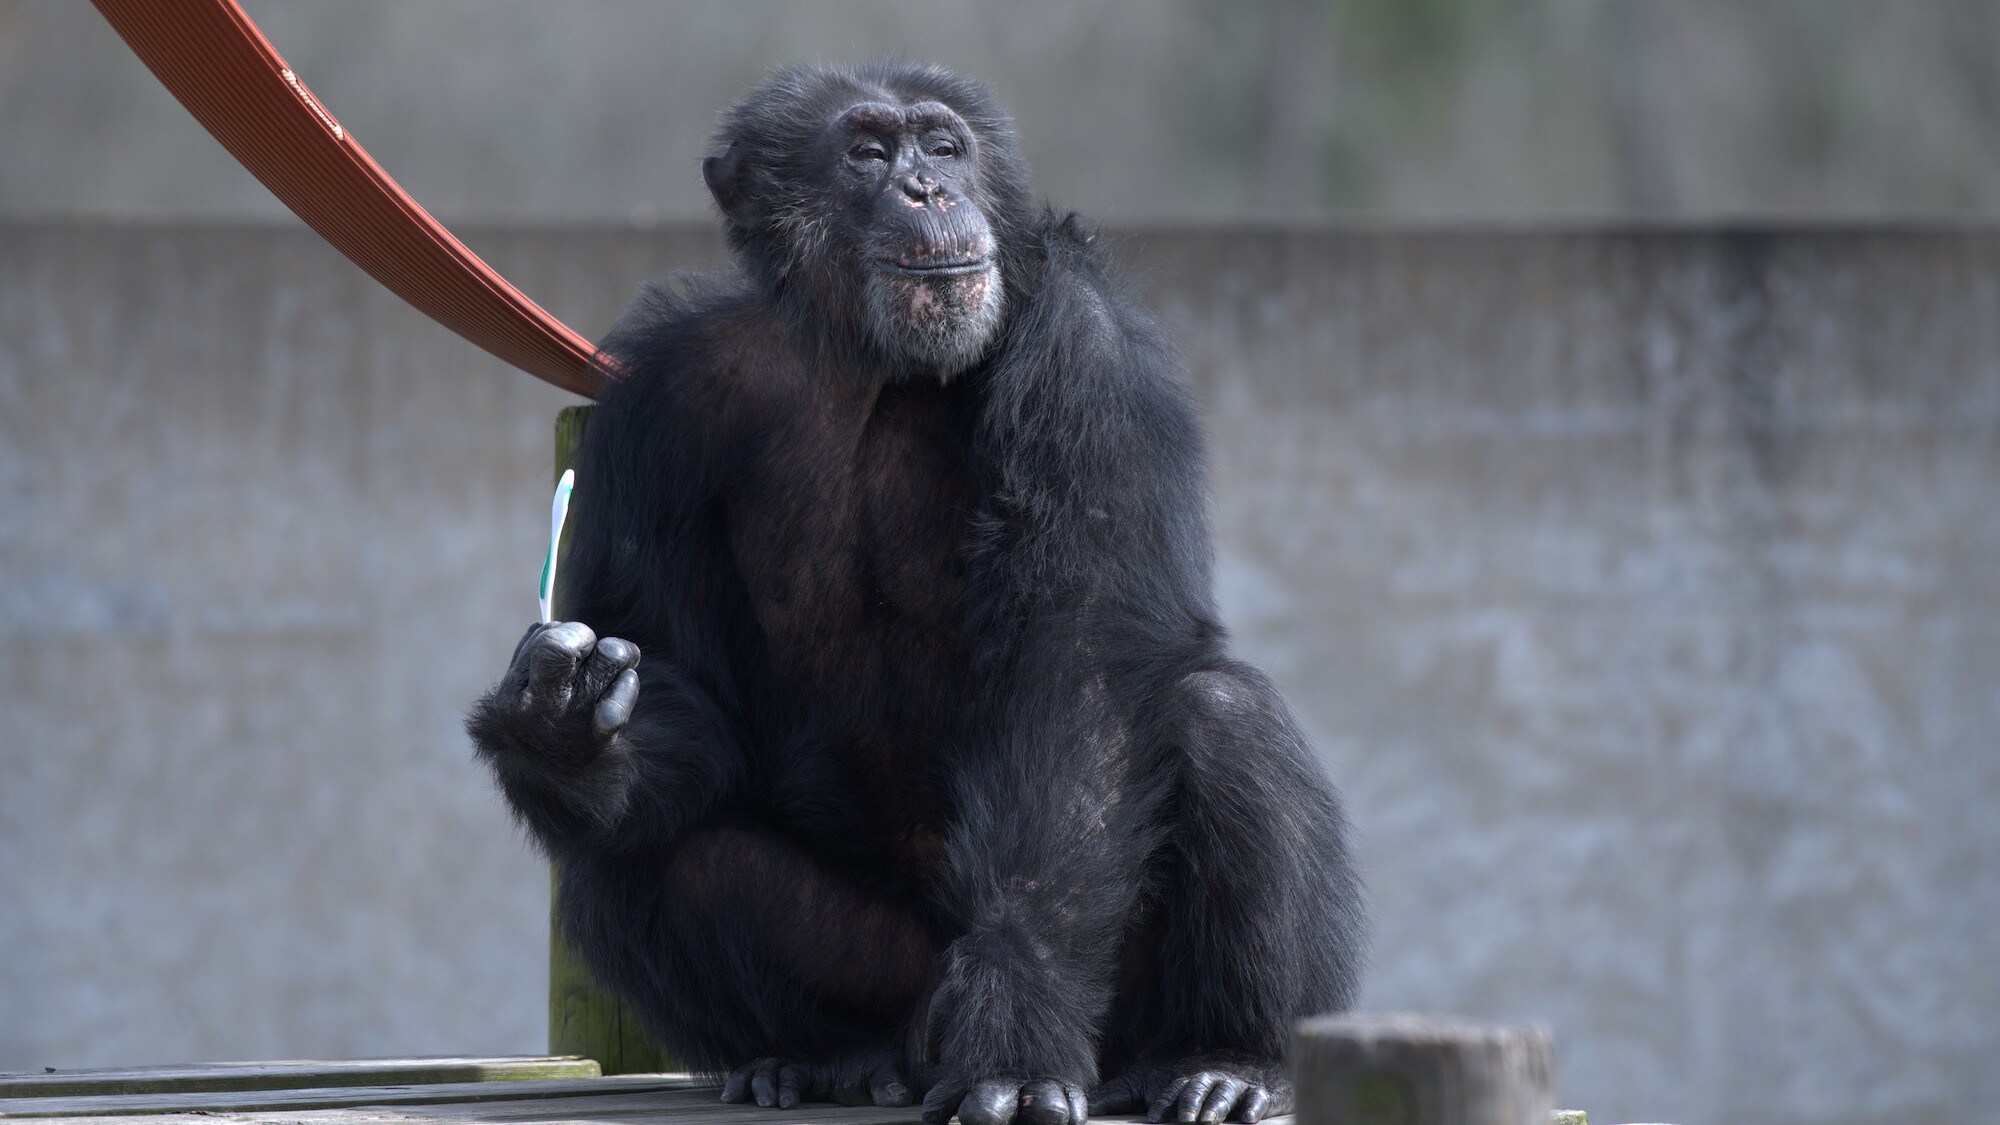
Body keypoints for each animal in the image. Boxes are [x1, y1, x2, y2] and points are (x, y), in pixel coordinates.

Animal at [472, 59, 1360, 1120]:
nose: (928, 190)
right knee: (632, 849)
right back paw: (823, 1053)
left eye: (942, 145)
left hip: (1113, 1010)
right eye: (866, 152)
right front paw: (560, 728)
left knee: (1220, 715)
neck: (868, 357)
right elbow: (680, 676)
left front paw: (1016, 1030)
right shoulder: (658, 406)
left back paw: (1227, 1059)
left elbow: (1076, 662)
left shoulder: (1087, 348)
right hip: (895, 975)